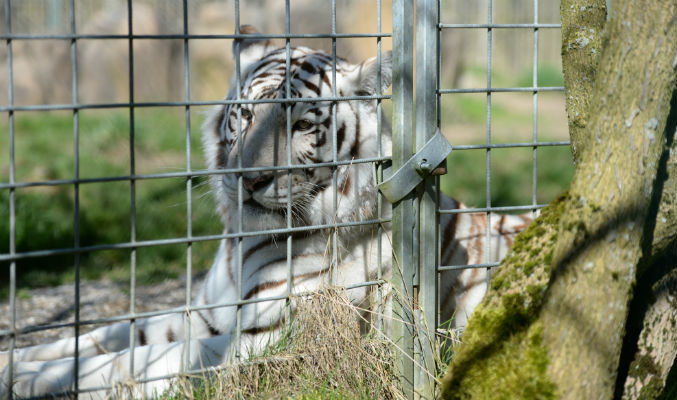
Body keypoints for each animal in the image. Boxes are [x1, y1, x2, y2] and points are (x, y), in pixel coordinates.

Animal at [0, 26, 532, 398]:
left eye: (302, 125)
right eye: (247, 115)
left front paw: (28, 377)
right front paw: (17, 361)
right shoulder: (207, 316)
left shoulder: (262, 341)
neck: (246, 242)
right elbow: (104, 336)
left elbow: (140, 360)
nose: (250, 180)